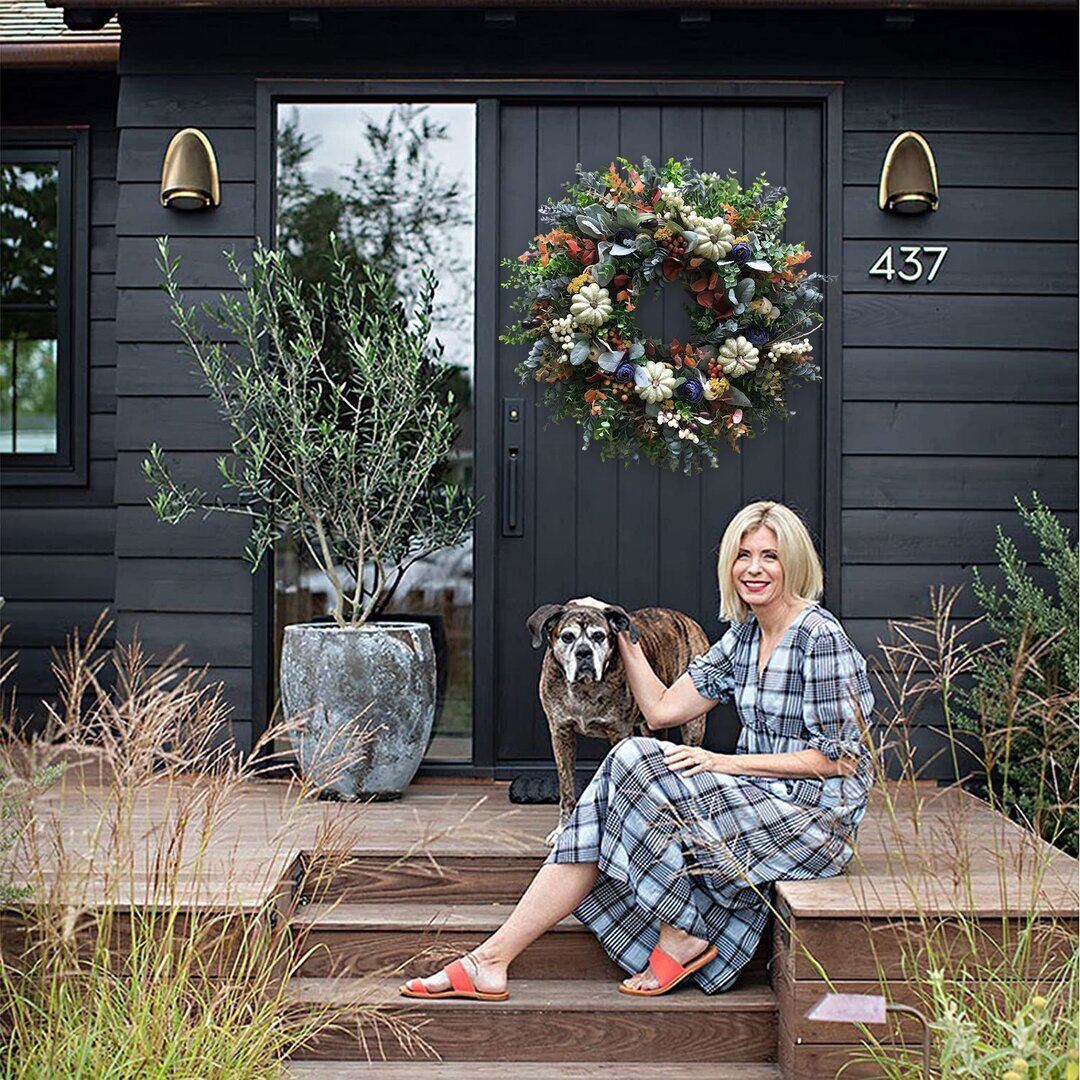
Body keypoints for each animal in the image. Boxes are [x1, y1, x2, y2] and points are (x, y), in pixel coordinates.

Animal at [527, 604, 712, 846]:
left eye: (599, 636)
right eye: (567, 637)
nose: (584, 652)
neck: (584, 689)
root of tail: (688, 620)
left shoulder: (619, 733)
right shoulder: (561, 733)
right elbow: (566, 787)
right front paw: (562, 830)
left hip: (693, 724)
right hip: (652, 726)